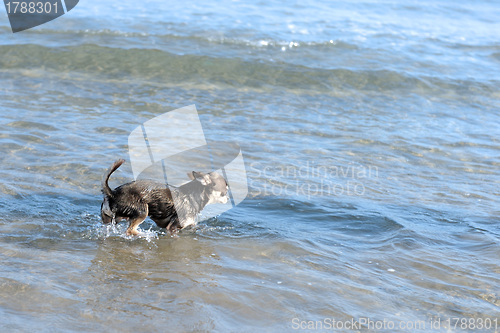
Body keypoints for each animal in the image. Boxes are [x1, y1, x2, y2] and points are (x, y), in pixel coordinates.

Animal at [100, 159, 229, 235]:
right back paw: (145, 234)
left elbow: (194, 226)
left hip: (111, 219)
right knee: (130, 230)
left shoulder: (187, 224)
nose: (228, 199)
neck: (193, 196)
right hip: (143, 211)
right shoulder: (173, 228)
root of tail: (112, 193)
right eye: (225, 191)